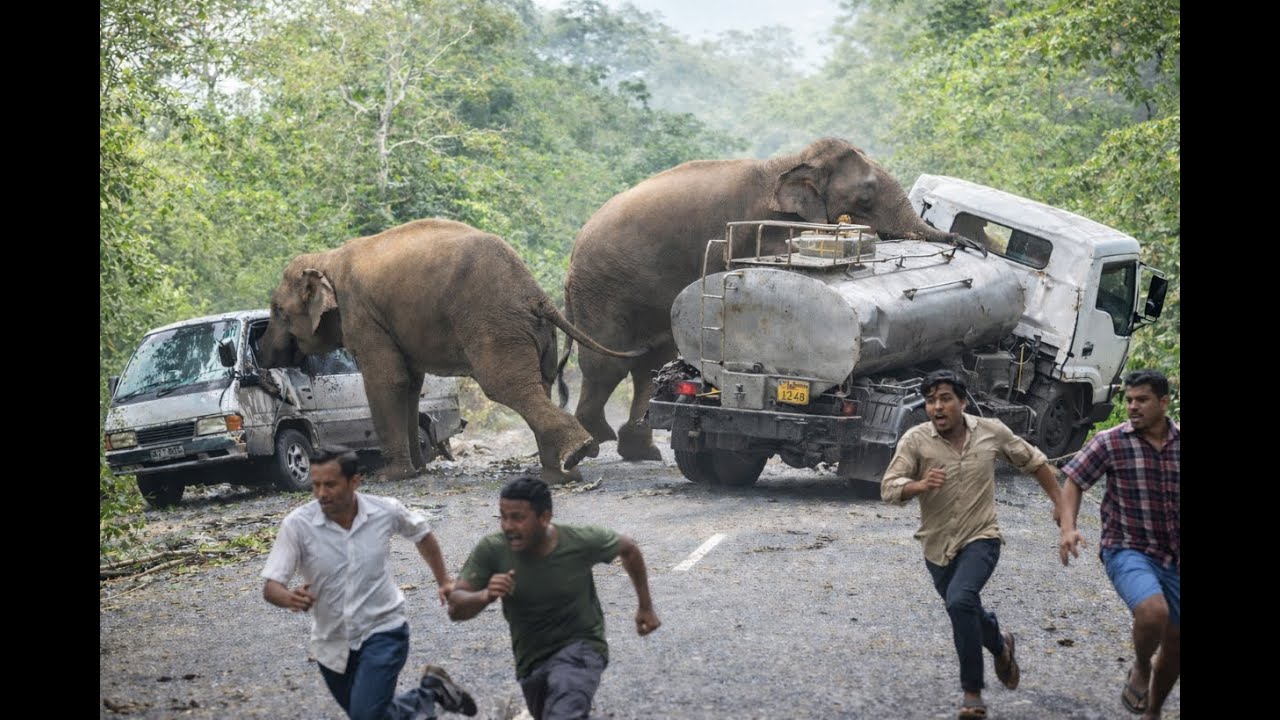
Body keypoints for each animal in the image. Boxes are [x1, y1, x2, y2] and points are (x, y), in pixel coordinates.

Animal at [258, 218, 645, 484]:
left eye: (277, 310)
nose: (259, 357)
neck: (328, 259)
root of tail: (537, 294)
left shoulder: (363, 316)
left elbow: (387, 381)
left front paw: (391, 476)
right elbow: (410, 384)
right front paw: (418, 468)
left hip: (494, 325)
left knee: (507, 386)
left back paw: (579, 454)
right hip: (533, 333)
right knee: (540, 384)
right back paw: (560, 475)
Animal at [560, 136, 983, 461]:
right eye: (865, 196)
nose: (971, 244)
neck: (792, 162)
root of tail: (573, 252)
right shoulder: (767, 231)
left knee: (649, 360)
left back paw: (639, 452)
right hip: (603, 287)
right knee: (607, 363)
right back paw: (594, 443)